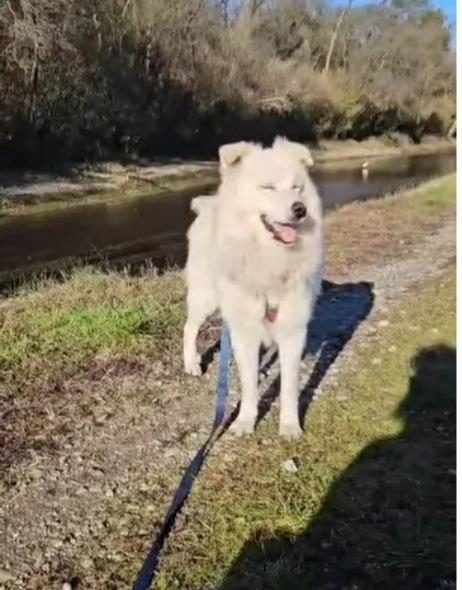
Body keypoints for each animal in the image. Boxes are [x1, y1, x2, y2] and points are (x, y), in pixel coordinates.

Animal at [182, 136, 324, 438]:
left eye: (297, 188)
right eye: (268, 187)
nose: (300, 209)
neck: (269, 260)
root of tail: (210, 204)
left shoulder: (293, 329)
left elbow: (289, 386)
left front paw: (289, 426)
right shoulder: (244, 328)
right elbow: (247, 386)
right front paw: (244, 422)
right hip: (206, 297)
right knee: (189, 327)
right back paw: (191, 363)